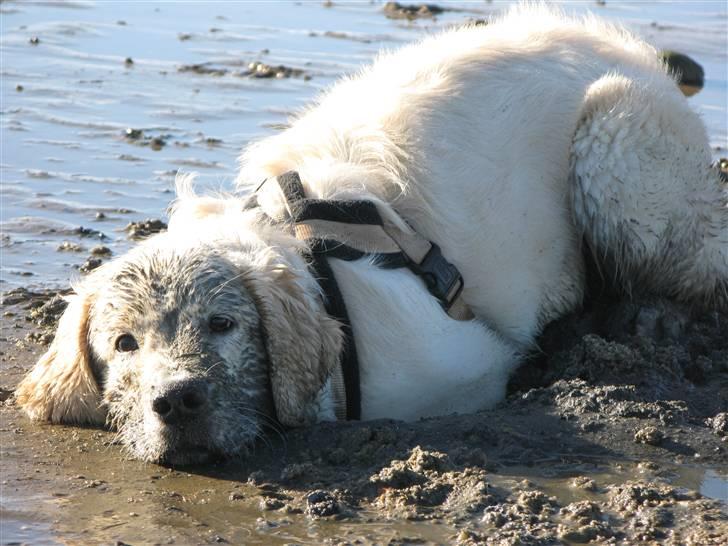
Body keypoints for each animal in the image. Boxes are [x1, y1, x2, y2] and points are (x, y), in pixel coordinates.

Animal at [14, 5, 724, 464]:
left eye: (224, 325)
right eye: (124, 344)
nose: (178, 401)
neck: (308, 251)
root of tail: (629, 50)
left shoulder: (464, 369)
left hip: (616, 144)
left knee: (693, 274)